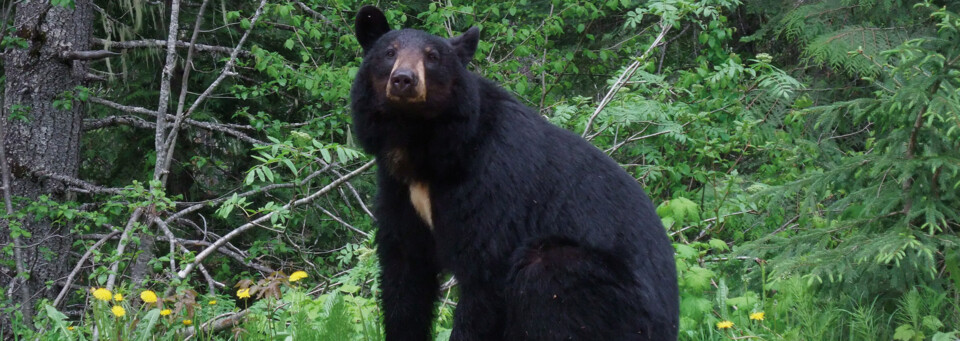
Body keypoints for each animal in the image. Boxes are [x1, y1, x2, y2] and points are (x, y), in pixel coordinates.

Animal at [350, 5, 676, 340]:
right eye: (389, 52)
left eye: (433, 57)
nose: (404, 79)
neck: (423, 145)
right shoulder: (398, 190)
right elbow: (404, 274)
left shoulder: (491, 186)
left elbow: (485, 272)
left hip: (603, 294)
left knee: (545, 277)